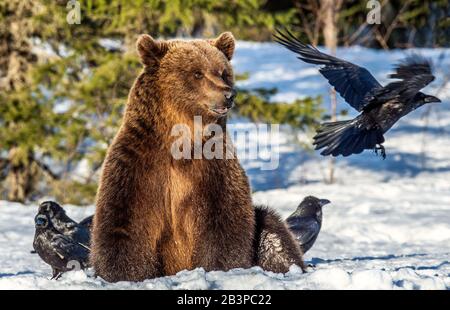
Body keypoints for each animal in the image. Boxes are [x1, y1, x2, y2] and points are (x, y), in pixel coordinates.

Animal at [89, 30, 304, 280]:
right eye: (197, 73)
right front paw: (125, 273)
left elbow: (224, 223)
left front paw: (220, 268)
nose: (228, 95)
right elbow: (124, 225)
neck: (181, 139)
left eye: (223, 72)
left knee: (272, 229)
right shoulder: (138, 165)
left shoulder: (212, 167)